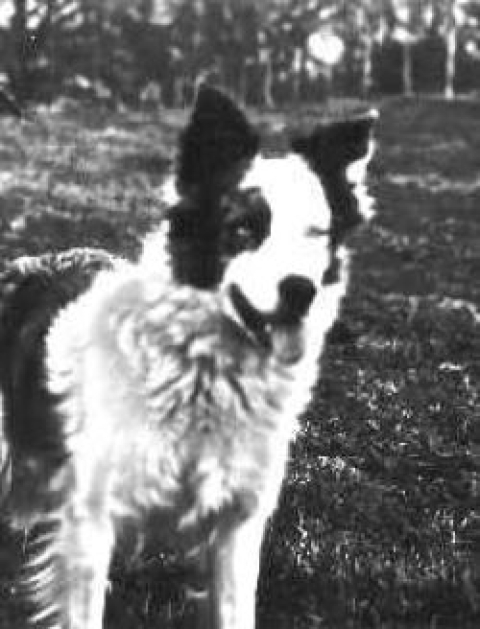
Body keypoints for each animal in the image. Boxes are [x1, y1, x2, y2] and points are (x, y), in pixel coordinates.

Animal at [0, 84, 376, 628]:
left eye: (316, 235)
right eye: (243, 230)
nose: (301, 291)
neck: (203, 375)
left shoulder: (237, 527)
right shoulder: (89, 522)